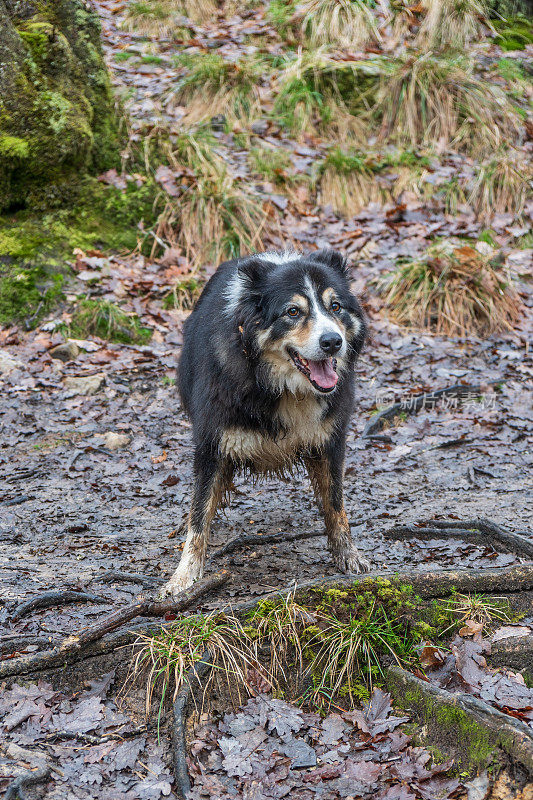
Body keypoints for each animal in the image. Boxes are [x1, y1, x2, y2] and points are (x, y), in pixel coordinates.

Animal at [162, 247, 368, 596]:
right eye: (293, 312)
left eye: (335, 307)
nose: (333, 341)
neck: (282, 387)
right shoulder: (212, 442)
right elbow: (199, 513)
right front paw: (183, 578)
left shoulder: (330, 438)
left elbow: (336, 502)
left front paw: (348, 555)